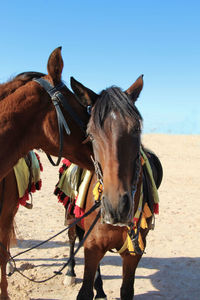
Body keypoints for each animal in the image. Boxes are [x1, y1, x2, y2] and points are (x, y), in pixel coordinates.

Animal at [67, 76, 162, 298]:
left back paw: (100, 289)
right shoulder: (93, 246)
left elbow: (127, 290)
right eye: (91, 135)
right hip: (70, 216)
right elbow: (84, 292)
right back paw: (70, 273)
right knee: (72, 238)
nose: (117, 207)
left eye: (136, 129)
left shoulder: (133, 252)